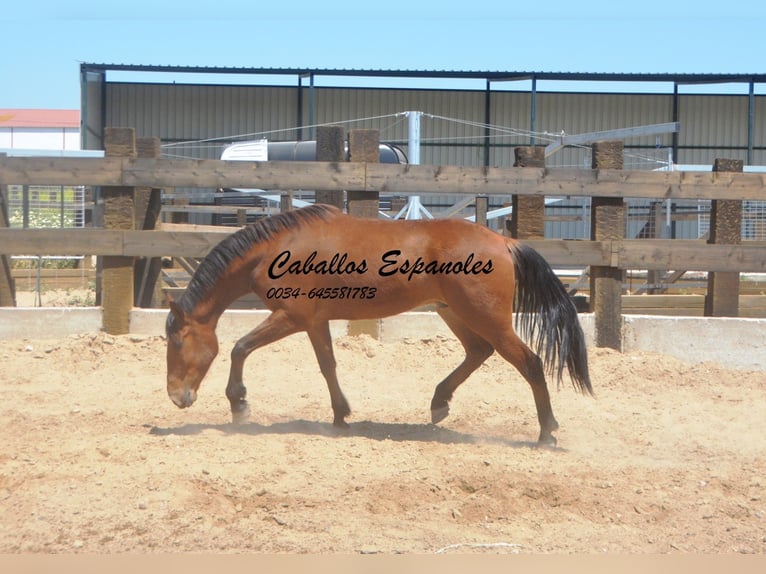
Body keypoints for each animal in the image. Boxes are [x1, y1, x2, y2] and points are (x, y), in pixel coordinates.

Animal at [164, 205, 592, 448]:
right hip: (454, 312)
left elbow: (239, 347)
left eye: (178, 341)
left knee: (530, 362)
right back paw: (439, 403)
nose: (176, 397)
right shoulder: (315, 322)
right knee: (478, 352)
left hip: (486, 317)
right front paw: (340, 416)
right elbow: (328, 366)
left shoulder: (291, 316)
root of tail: (504, 242)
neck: (278, 248)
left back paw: (546, 432)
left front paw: (238, 404)